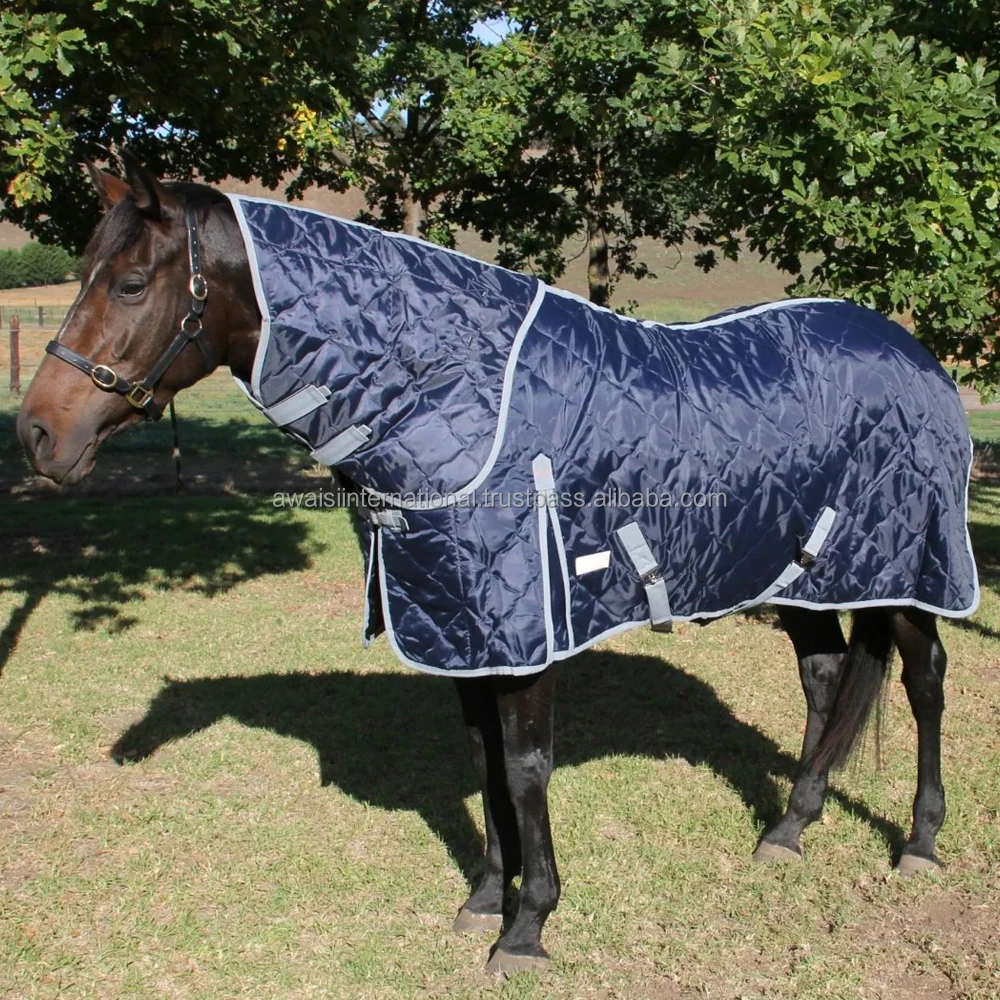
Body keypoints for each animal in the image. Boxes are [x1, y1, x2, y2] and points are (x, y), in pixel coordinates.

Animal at [16, 156, 973, 977]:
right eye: (87, 272)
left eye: (131, 283)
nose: (38, 435)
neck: (452, 392)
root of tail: (914, 354)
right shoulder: (460, 627)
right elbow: (480, 764)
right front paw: (484, 895)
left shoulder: (521, 635)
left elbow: (523, 770)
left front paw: (528, 927)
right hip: (804, 572)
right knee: (825, 680)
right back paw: (789, 828)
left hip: (910, 568)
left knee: (925, 678)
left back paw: (921, 842)